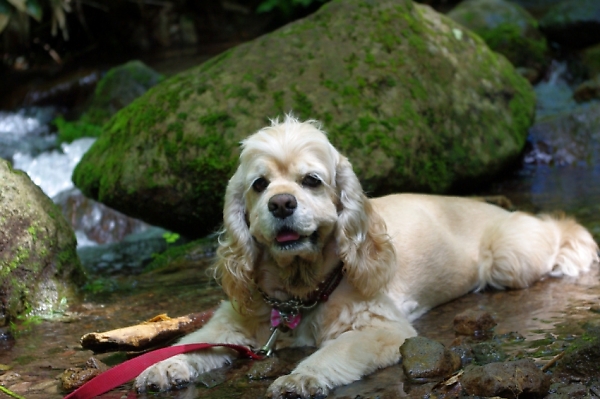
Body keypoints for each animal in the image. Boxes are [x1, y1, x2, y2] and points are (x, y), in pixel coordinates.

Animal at [136, 115, 600, 396]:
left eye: (311, 180)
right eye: (259, 185)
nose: (282, 204)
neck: (299, 289)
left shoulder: (382, 328)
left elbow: (334, 353)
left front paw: (303, 376)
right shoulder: (230, 324)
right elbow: (190, 344)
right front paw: (163, 367)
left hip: (509, 259)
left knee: (557, 231)